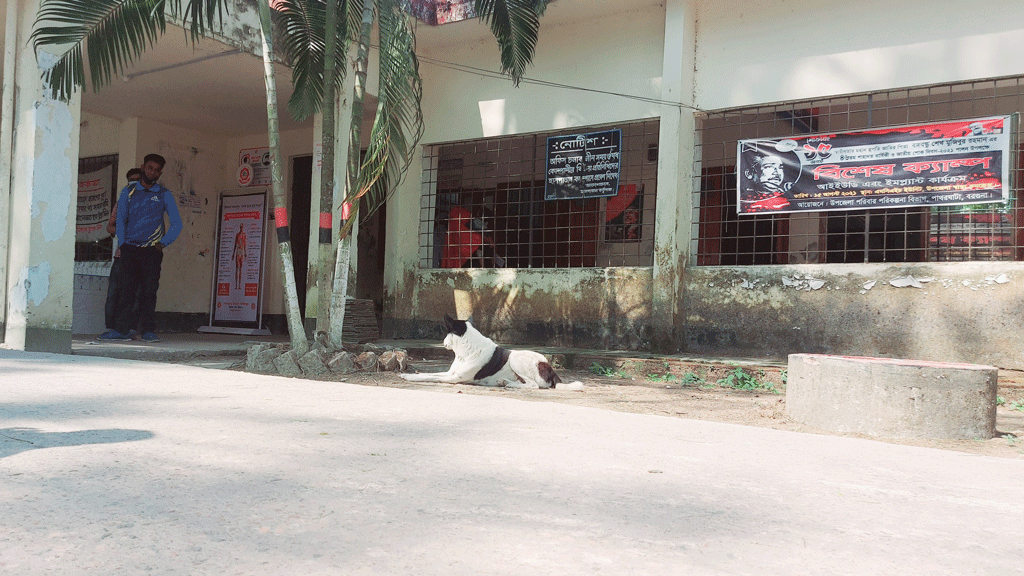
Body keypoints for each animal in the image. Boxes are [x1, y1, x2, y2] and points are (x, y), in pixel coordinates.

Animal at [397, 313, 581, 389]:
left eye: (447, 332)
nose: (443, 342)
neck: (465, 352)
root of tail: (549, 367)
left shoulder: (454, 378)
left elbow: (429, 377)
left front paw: (408, 377)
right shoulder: (450, 373)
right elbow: (427, 373)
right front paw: (409, 374)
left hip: (516, 359)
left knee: (533, 385)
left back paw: (509, 384)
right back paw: (505, 382)